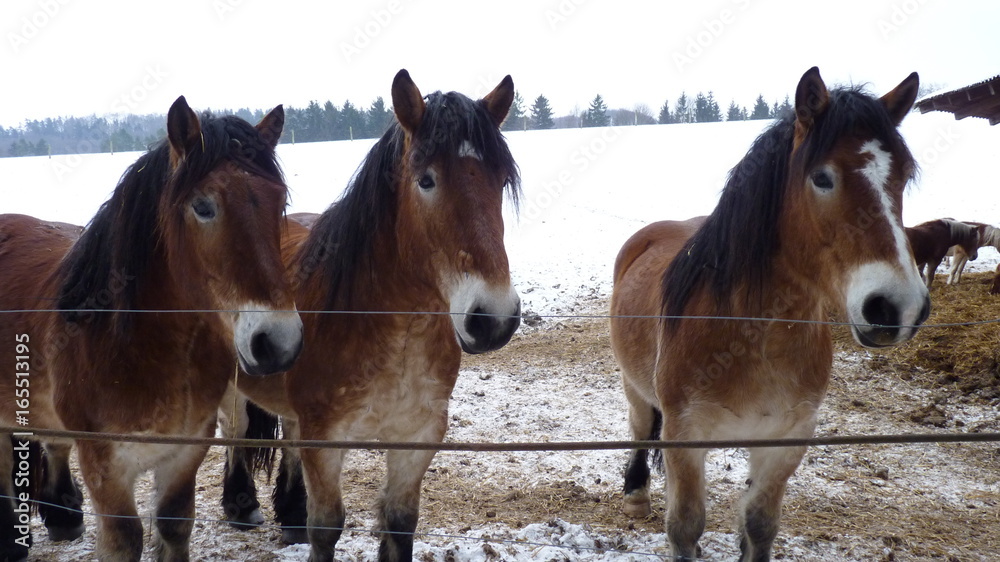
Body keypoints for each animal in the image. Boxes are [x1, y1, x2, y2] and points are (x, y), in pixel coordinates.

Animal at [0, 97, 304, 560]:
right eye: (203, 206)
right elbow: (125, 540)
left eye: (279, 201)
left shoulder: (183, 455)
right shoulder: (105, 467)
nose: (278, 342)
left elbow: (174, 526)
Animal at [230, 71, 520, 560]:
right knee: (233, 428)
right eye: (426, 180)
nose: (494, 318)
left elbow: (400, 524)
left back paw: (289, 515)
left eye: (500, 180)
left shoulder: (417, 437)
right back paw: (241, 507)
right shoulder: (326, 441)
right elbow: (327, 528)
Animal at [608, 68, 928, 556]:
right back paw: (636, 492)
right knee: (640, 428)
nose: (895, 306)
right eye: (822, 177)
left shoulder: (786, 441)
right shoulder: (684, 437)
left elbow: (759, 526)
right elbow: (685, 527)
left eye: (904, 176)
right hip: (636, 389)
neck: (755, 337)